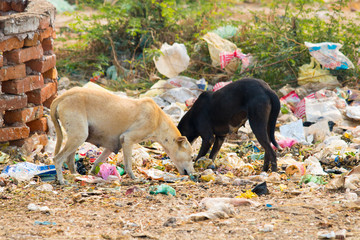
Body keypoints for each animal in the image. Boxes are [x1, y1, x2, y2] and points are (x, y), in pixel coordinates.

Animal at [50, 87, 194, 185]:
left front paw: (93, 175)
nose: (193, 175)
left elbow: (97, 162)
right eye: (191, 156)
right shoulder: (128, 139)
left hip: (77, 138)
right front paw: (135, 178)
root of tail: (62, 97)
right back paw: (62, 180)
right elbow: (128, 164)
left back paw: (75, 176)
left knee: (69, 160)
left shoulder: (112, 146)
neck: (158, 119)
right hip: (79, 136)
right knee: (57, 159)